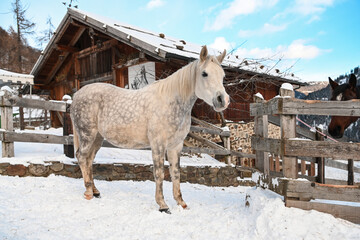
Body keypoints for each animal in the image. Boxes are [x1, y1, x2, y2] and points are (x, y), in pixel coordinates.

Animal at [69, 46, 229, 213]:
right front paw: (163, 205)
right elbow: (159, 173)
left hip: (98, 138)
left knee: (89, 160)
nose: (222, 100)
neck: (171, 102)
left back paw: (95, 191)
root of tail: (77, 95)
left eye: (223, 75)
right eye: (204, 73)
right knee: (81, 157)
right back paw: (88, 192)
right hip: (87, 134)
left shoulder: (176, 146)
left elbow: (176, 172)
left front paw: (181, 202)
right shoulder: (158, 144)